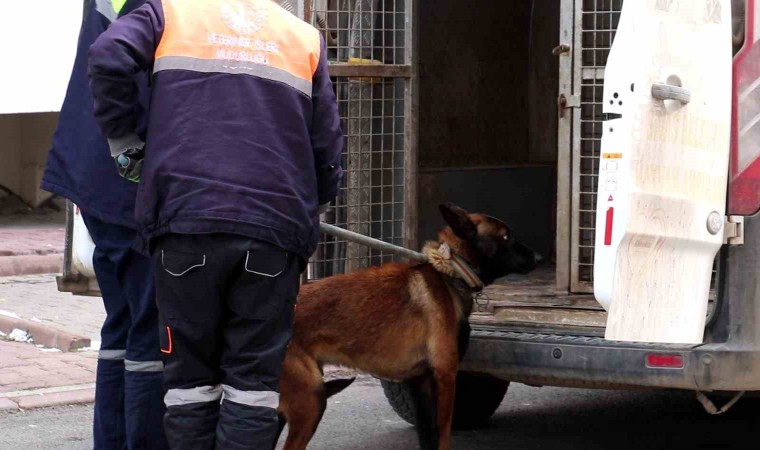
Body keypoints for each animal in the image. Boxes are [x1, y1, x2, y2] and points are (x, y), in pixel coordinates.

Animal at [276, 204, 536, 450]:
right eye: (505, 237)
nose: (539, 257)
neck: (451, 274)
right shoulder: (445, 377)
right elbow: (443, 436)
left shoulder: (420, 383)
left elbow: (428, 437)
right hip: (311, 401)